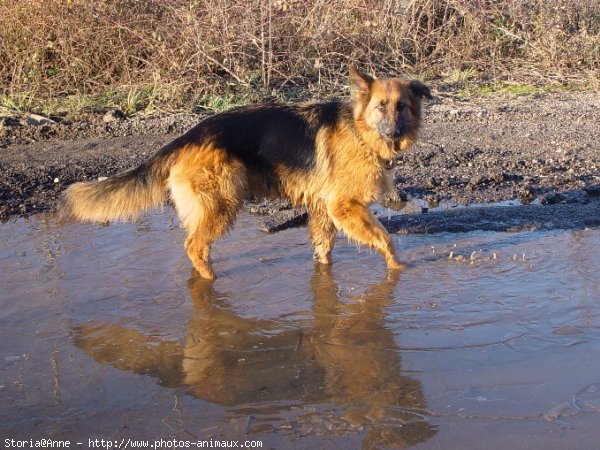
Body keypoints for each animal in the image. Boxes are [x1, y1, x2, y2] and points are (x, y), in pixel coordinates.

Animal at [62, 66, 432, 278]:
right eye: (380, 107)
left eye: (402, 107)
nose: (394, 133)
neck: (360, 132)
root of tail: (188, 136)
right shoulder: (344, 206)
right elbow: (385, 238)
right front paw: (399, 269)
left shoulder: (322, 209)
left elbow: (323, 249)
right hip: (222, 204)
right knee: (193, 246)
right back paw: (208, 282)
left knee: (198, 246)